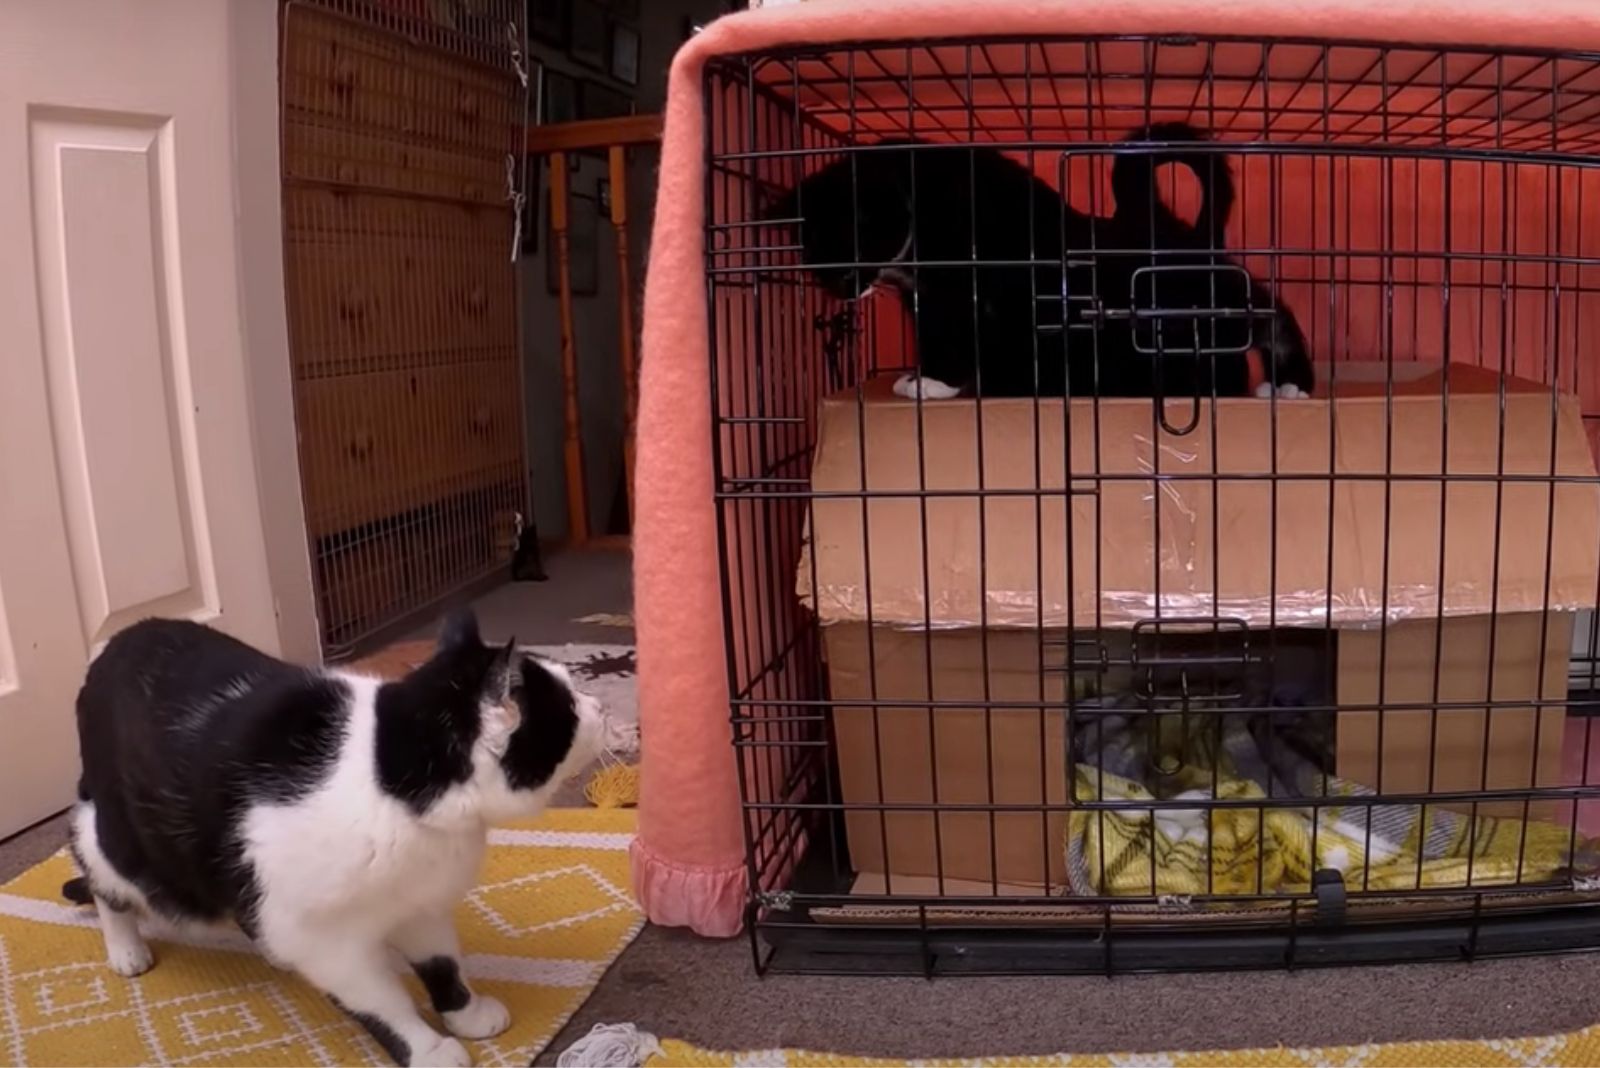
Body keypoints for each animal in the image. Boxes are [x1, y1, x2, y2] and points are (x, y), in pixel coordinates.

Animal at [65, 607, 608, 1068]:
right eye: (569, 704)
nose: (600, 705)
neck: (391, 780)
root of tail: (115, 644)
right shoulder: (328, 943)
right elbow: (383, 1001)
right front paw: (427, 1048)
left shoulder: (420, 901)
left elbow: (443, 963)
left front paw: (466, 1013)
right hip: (129, 848)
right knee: (100, 872)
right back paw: (126, 950)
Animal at [771, 122, 1312, 404]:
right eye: (812, 257)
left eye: (848, 246)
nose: (840, 291)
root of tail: (1149, 219)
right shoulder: (921, 296)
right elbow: (932, 333)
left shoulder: (959, 286)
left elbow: (954, 336)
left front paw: (936, 382)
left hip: (1185, 295)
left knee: (1267, 310)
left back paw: (1289, 382)